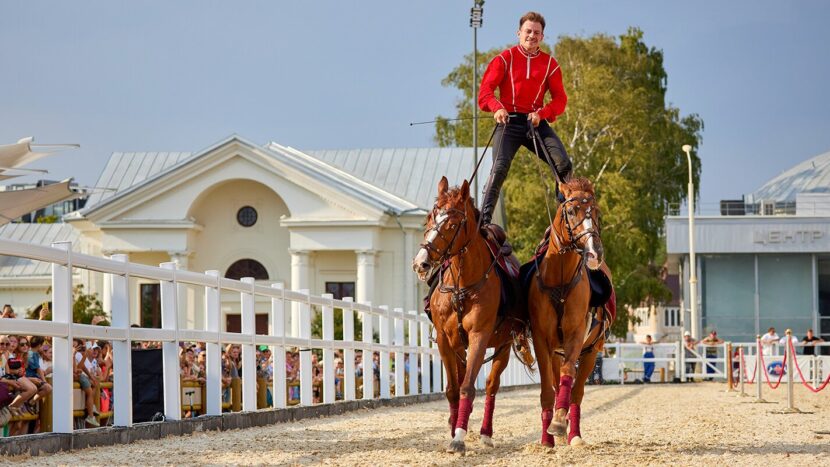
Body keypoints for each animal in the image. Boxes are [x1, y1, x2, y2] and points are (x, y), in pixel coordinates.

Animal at [412, 177, 536, 456]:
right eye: (429, 218)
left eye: (452, 224)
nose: (421, 263)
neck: (462, 286)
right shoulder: (446, 342)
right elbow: (452, 389)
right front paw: (453, 428)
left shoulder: (479, 337)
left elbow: (468, 386)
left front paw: (459, 437)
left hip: (502, 347)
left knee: (491, 385)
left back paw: (485, 433)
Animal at [528, 177, 616, 448]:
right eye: (571, 210)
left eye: (596, 211)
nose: (595, 253)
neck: (559, 280)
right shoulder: (541, 341)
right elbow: (548, 388)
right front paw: (546, 437)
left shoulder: (576, 337)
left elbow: (569, 377)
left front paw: (558, 422)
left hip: (591, 352)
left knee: (576, 394)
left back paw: (573, 433)